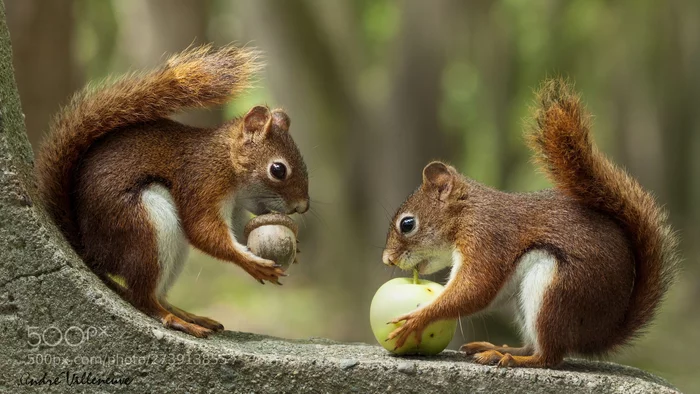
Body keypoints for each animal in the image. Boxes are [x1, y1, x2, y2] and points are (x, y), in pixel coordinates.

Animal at [35, 43, 308, 338]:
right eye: (278, 170)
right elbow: (203, 231)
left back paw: (189, 315)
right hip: (145, 227)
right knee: (143, 298)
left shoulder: (234, 208)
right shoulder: (201, 183)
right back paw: (176, 320)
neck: (226, 160)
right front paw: (250, 262)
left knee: (157, 295)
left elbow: (235, 231)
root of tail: (91, 251)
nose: (303, 206)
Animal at [382, 78, 680, 368]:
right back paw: (498, 349)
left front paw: (419, 318)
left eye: (407, 224)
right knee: (534, 344)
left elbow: (476, 288)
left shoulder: (487, 237)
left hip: (555, 291)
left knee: (549, 356)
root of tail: (598, 335)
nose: (387, 259)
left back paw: (512, 358)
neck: (467, 213)